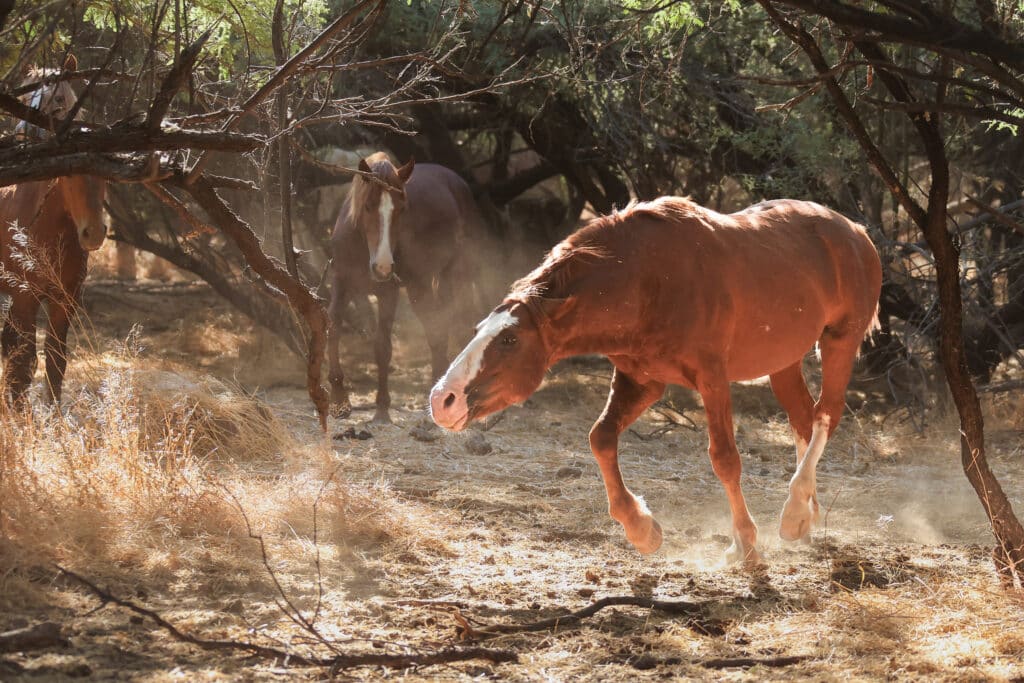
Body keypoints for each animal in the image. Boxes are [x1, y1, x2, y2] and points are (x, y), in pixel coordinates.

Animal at [1, 56, 107, 409]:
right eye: (29, 96)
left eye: (61, 97)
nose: (93, 233)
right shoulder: (24, 297)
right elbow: (23, 362)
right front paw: (19, 414)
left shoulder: (65, 299)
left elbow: (55, 360)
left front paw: (53, 415)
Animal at [327, 152, 487, 423]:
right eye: (367, 205)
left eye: (401, 210)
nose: (382, 267)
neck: (361, 246)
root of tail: (457, 182)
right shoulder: (341, 283)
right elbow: (333, 329)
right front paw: (339, 400)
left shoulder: (387, 293)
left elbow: (382, 347)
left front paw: (382, 408)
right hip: (423, 287)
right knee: (438, 330)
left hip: (454, 276)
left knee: (454, 324)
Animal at [428, 196, 884, 565]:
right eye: (478, 330)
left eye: (509, 339)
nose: (442, 399)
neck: (645, 282)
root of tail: (856, 231)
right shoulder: (641, 380)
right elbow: (600, 438)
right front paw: (641, 528)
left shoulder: (712, 378)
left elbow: (725, 459)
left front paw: (747, 544)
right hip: (783, 361)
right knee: (803, 419)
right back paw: (805, 515)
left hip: (840, 340)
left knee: (826, 414)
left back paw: (793, 513)